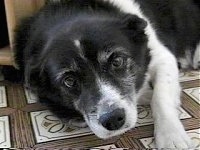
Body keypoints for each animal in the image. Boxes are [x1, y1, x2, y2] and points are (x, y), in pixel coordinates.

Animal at [13, 0, 199, 149]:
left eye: (117, 61)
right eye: (69, 80)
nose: (113, 119)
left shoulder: (162, 57)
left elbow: (161, 97)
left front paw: (171, 136)